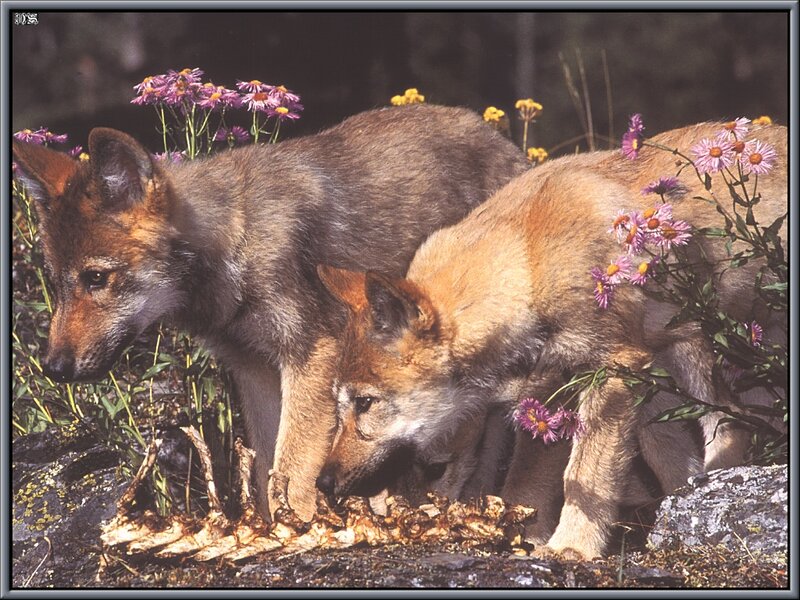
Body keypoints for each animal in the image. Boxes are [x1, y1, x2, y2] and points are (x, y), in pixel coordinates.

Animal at [11, 104, 530, 520]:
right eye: (57, 283)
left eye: (96, 278)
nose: (53, 368)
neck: (236, 244)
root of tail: (512, 147)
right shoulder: (255, 372)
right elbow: (266, 474)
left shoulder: (312, 359)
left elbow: (294, 469)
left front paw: (297, 531)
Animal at [314, 122, 787, 558]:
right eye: (339, 406)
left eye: (365, 403)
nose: (323, 483)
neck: (528, 263)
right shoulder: (562, 396)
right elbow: (537, 484)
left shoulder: (612, 373)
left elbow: (583, 477)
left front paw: (571, 548)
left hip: (706, 360)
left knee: (732, 427)